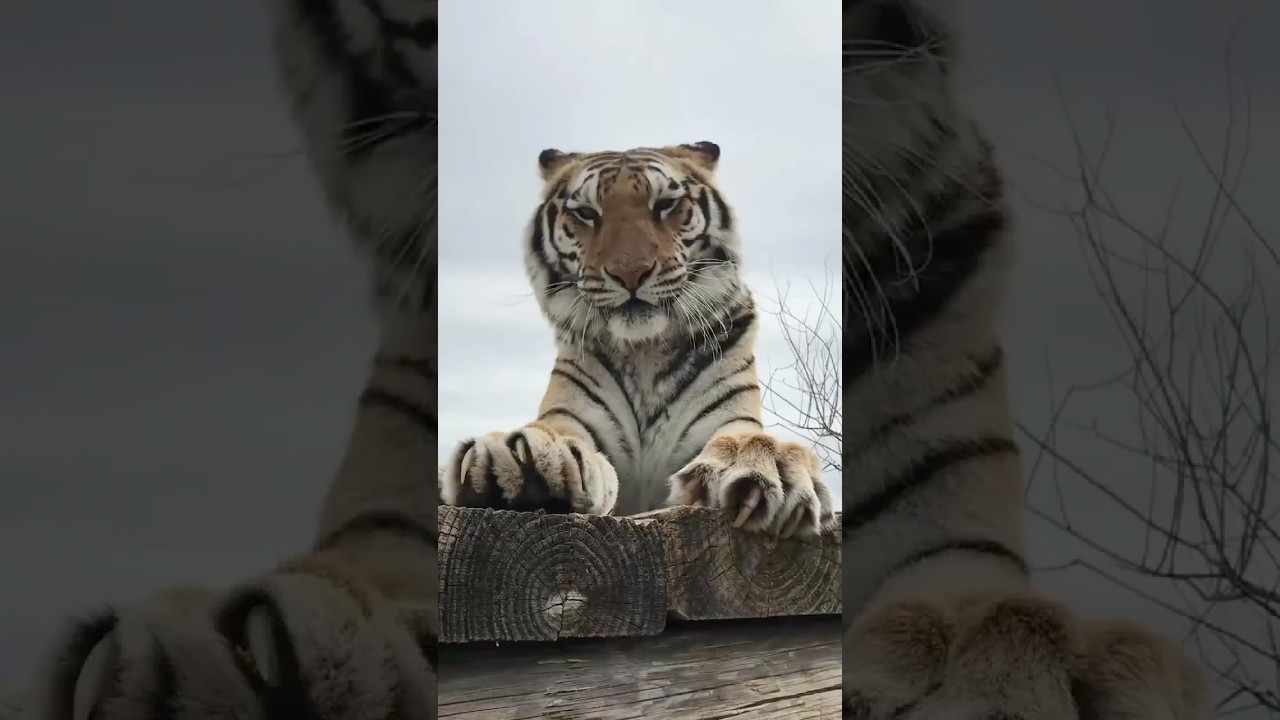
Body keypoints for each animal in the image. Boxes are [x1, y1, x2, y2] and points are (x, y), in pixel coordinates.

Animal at [436, 142, 838, 539]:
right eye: (586, 213)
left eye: (666, 205)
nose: (631, 273)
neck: (646, 350)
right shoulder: (574, 412)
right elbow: (554, 429)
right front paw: (522, 455)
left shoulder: (727, 414)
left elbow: (745, 438)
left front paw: (769, 469)